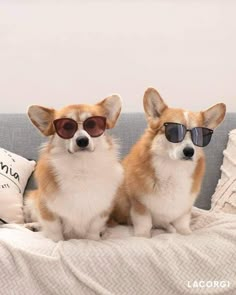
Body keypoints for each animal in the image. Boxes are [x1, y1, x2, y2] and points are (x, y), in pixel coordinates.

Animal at [25, 96, 123, 242]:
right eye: (66, 127)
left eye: (92, 124)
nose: (82, 140)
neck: (81, 167)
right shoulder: (47, 207)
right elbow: (54, 229)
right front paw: (57, 241)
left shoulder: (102, 209)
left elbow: (94, 228)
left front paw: (93, 240)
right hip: (31, 200)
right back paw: (33, 226)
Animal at [111, 88, 226, 238]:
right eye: (173, 131)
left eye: (199, 136)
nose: (189, 151)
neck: (173, 168)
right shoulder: (139, 205)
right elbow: (144, 224)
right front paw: (143, 236)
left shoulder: (184, 209)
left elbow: (183, 224)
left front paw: (186, 233)